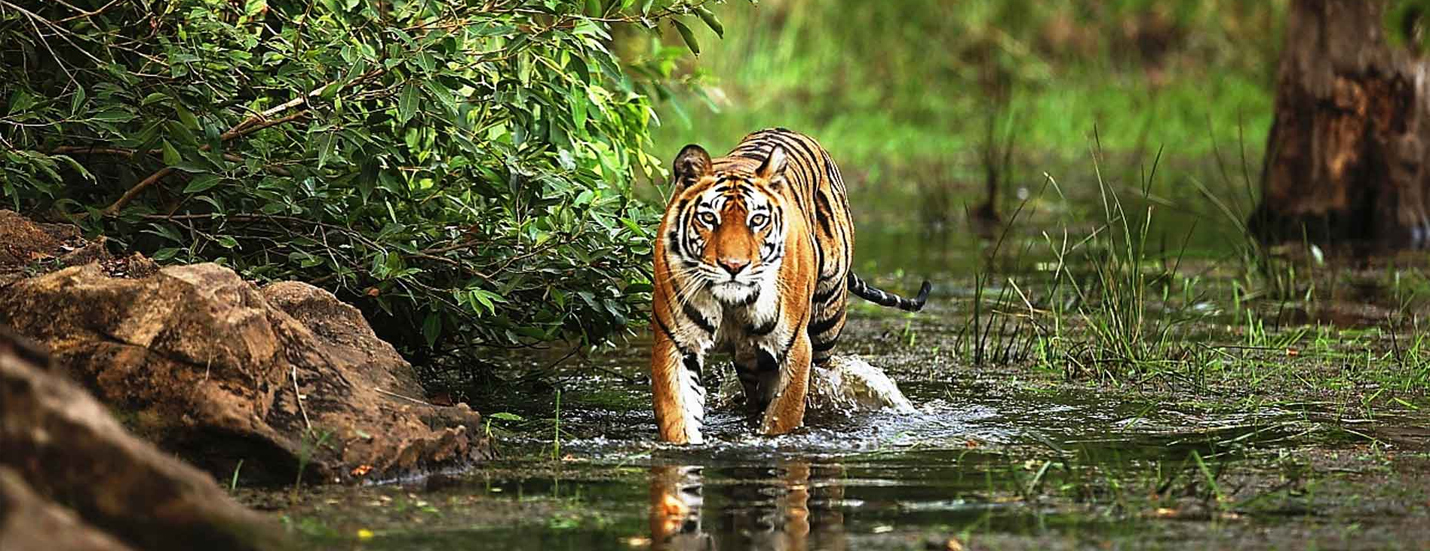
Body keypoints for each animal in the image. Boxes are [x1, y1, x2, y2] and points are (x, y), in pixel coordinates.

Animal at [646, 127, 926, 440]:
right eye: (708, 218)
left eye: (757, 220)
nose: (734, 266)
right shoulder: (677, 345)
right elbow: (678, 415)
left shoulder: (794, 347)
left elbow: (783, 414)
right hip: (750, 359)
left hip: (826, 321)